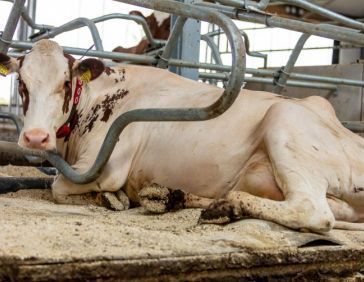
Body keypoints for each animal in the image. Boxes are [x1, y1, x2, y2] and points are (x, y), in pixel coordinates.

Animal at [0, 39, 364, 234]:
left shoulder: (105, 166)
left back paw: (225, 207)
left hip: (285, 122)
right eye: (22, 84)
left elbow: (59, 187)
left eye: (65, 82)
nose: (35, 138)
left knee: (313, 211)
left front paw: (110, 199)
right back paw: (170, 197)